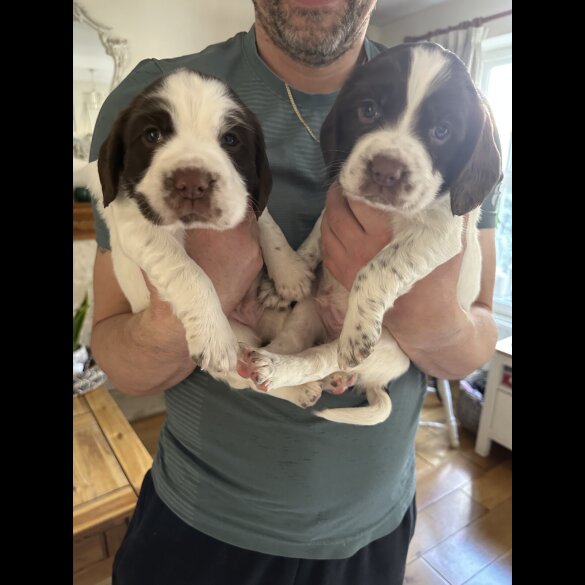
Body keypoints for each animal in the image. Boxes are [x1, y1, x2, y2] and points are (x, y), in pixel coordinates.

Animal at [80, 69, 314, 396]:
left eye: (230, 140)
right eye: (151, 135)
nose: (191, 182)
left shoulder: (243, 198)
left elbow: (267, 222)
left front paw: (289, 272)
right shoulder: (139, 226)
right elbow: (189, 273)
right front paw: (213, 334)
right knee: (247, 378)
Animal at [244, 42, 500, 424]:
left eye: (442, 131)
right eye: (368, 110)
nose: (385, 171)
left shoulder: (439, 233)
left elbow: (376, 267)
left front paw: (359, 325)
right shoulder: (342, 197)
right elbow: (315, 240)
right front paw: (287, 279)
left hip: (376, 350)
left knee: (319, 358)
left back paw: (297, 368)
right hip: (306, 313)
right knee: (291, 345)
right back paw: (265, 364)